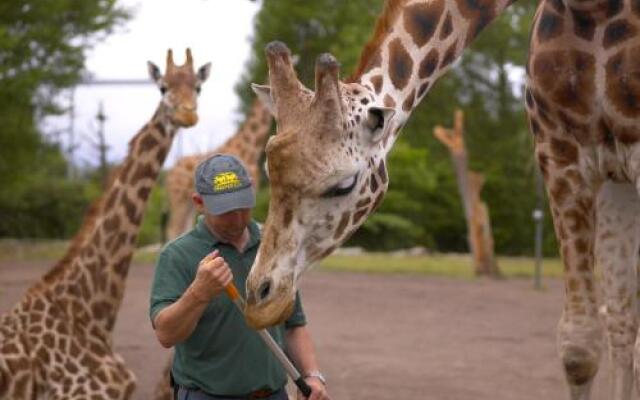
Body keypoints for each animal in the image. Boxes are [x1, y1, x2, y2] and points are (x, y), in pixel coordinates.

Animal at [241, 0, 640, 400]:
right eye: (270, 171)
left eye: (344, 184)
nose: (260, 300)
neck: (589, 7)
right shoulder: (559, 151)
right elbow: (579, 347)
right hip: (614, 185)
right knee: (622, 323)